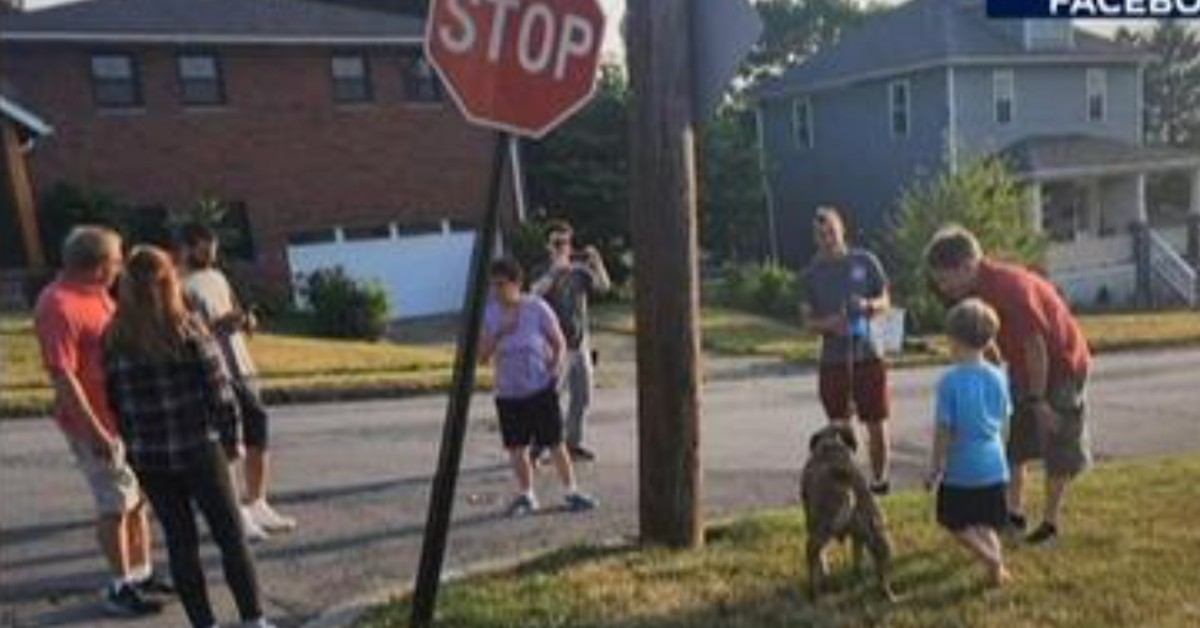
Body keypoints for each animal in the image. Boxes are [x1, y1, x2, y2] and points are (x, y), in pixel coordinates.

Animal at [801, 425, 897, 602]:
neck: (830, 446)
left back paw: (814, 593)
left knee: (813, 556)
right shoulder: (858, 536)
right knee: (880, 573)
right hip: (879, 536)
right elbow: (857, 555)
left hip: (819, 531)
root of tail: (847, 489)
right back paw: (885, 593)